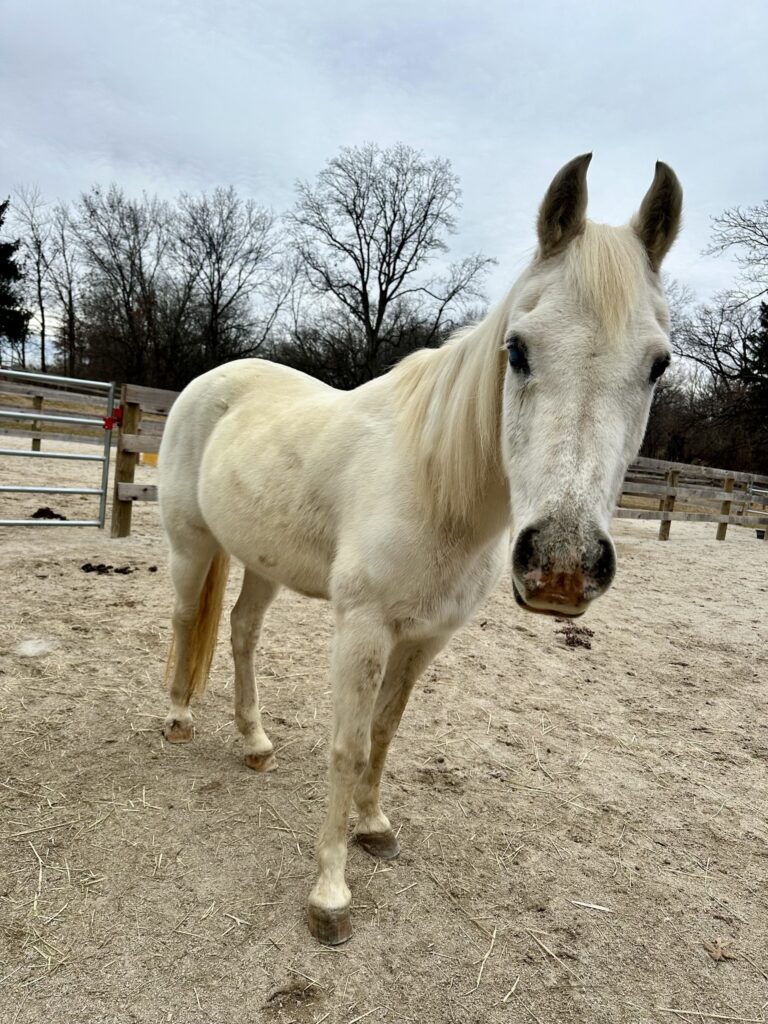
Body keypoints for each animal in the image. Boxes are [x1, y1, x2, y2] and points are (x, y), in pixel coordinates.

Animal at [157, 155, 684, 946]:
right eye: (518, 350)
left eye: (658, 365)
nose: (562, 566)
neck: (436, 484)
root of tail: (210, 382)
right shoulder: (364, 628)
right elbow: (347, 745)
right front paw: (330, 895)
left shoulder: (426, 637)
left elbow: (384, 732)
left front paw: (374, 827)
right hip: (192, 547)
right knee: (189, 619)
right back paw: (179, 719)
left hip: (263, 563)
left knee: (242, 632)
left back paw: (254, 742)